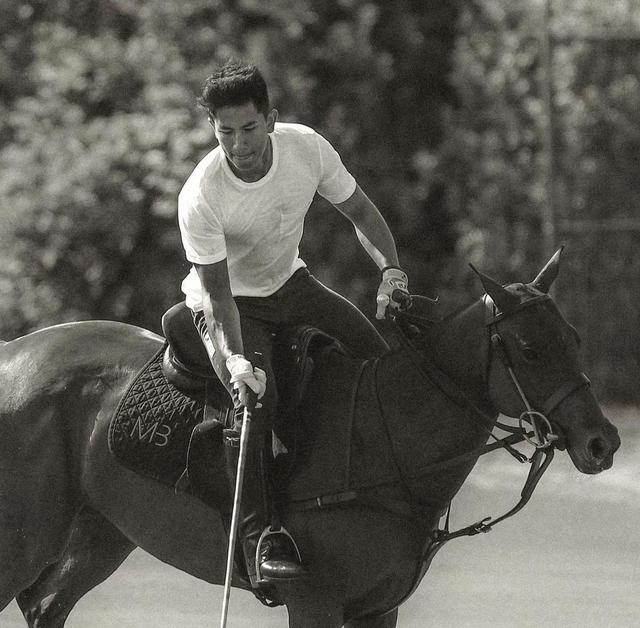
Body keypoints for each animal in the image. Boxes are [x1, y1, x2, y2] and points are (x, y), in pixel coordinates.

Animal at [0, 251, 620, 628]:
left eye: (573, 337)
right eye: (530, 349)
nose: (603, 442)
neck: (386, 445)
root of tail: (12, 352)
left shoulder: (380, 608)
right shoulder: (315, 603)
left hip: (103, 529)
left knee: (45, 604)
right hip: (25, 538)